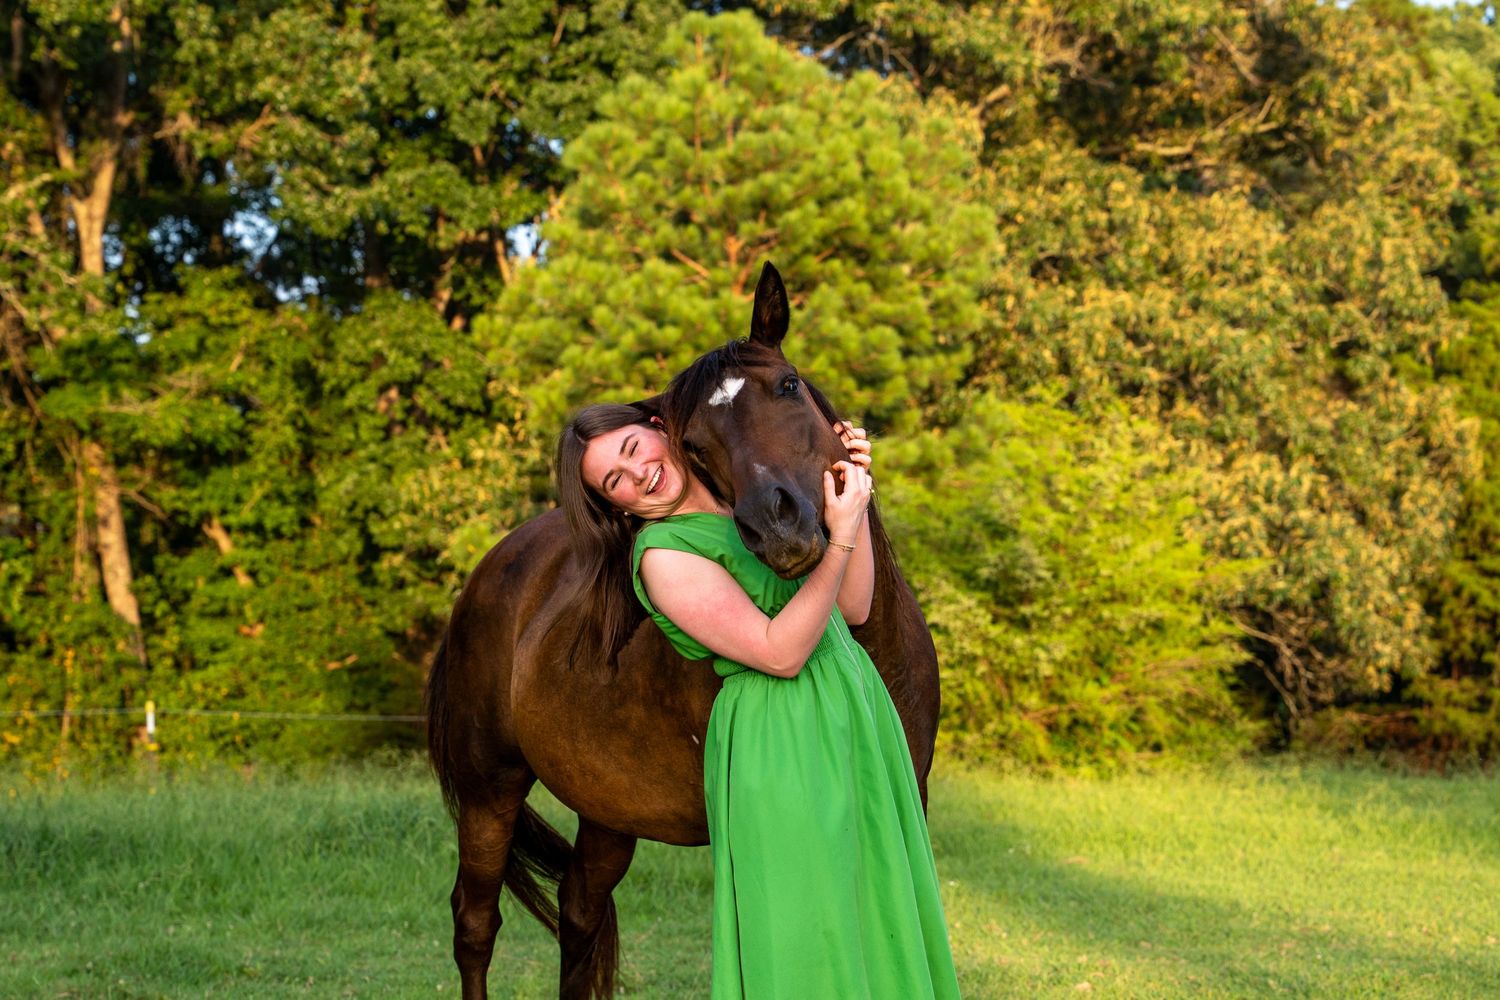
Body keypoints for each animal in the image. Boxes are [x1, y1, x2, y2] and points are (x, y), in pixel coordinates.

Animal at [425, 262, 940, 1000]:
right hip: (488, 790)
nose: (776, 525)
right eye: (695, 444)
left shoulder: (907, 799)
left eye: (788, 386)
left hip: (606, 808)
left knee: (579, 913)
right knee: (474, 923)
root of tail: (489, 571)